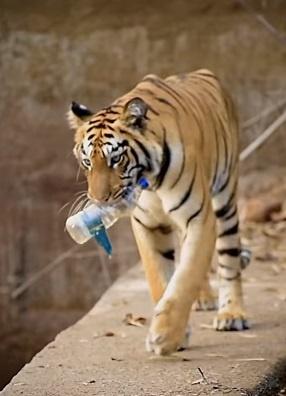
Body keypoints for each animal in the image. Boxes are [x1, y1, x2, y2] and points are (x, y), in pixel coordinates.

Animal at [67, 69, 248, 358]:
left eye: (115, 159)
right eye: (87, 162)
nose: (98, 200)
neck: (151, 182)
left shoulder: (199, 218)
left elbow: (185, 277)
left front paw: (165, 335)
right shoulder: (147, 224)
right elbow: (160, 279)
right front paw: (177, 334)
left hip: (225, 199)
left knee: (228, 258)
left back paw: (231, 314)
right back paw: (204, 298)